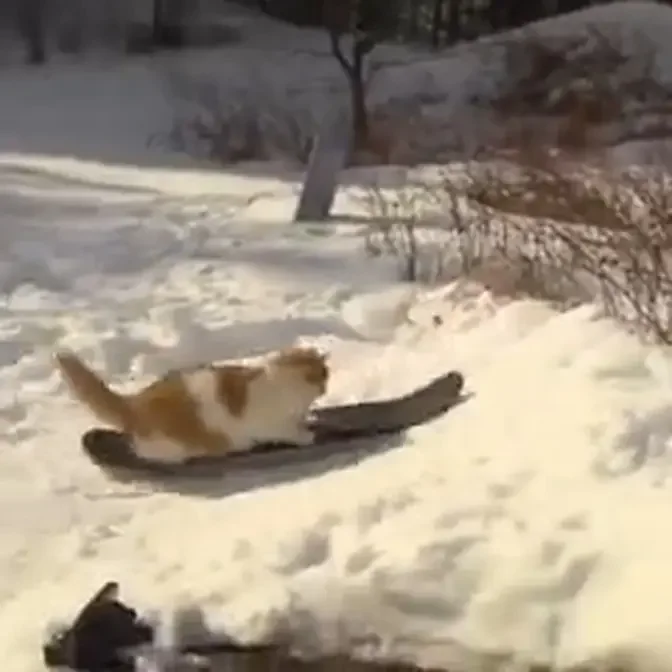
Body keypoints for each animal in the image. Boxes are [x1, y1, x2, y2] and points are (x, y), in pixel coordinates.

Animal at [54, 346, 330, 462]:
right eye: (323, 377)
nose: (325, 388)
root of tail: (134, 403)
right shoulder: (271, 425)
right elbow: (289, 432)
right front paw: (307, 435)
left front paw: (311, 420)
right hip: (169, 445)